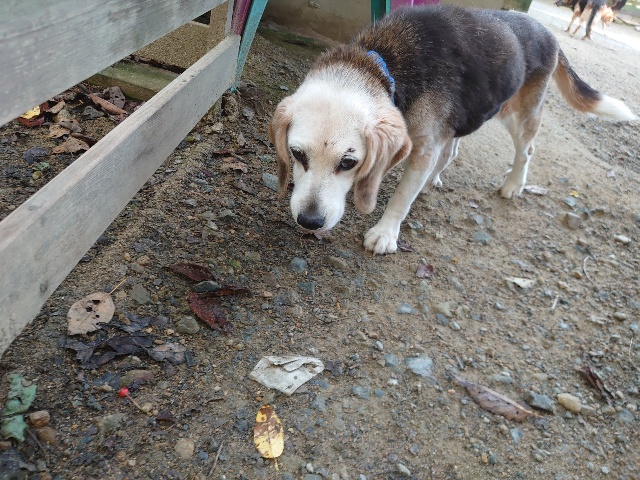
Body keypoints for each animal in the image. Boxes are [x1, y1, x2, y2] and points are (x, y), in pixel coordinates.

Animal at [269, 5, 636, 254]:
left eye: (348, 163)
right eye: (296, 153)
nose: (310, 222)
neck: (382, 65)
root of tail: (548, 33)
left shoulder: (422, 148)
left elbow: (401, 197)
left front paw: (385, 233)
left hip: (518, 114)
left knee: (526, 149)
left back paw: (513, 185)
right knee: (452, 151)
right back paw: (435, 179)